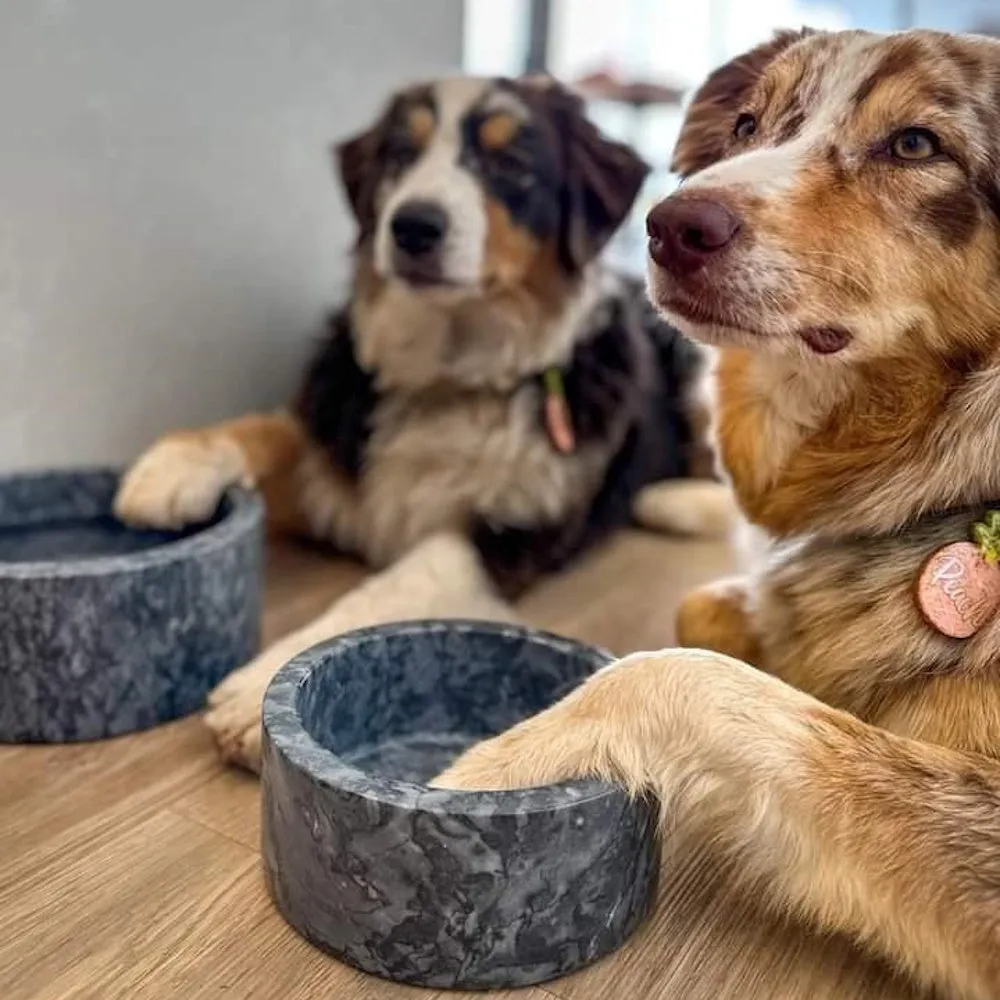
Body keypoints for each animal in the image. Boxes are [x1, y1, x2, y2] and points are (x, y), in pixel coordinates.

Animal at [115, 76, 728, 764]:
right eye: (399, 156)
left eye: (510, 164)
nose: (413, 225)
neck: (450, 375)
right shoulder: (337, 438)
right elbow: (269, 426)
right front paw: (171, 469)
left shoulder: (508, 532)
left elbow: (404, 579)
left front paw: (263, 686)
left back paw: (672, 501)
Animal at [442, 27, 1000, 996]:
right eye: (745, 126)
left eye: (915, 144)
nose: (670, 227)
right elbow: (704, 616)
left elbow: (678, 676)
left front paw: (489, 767)